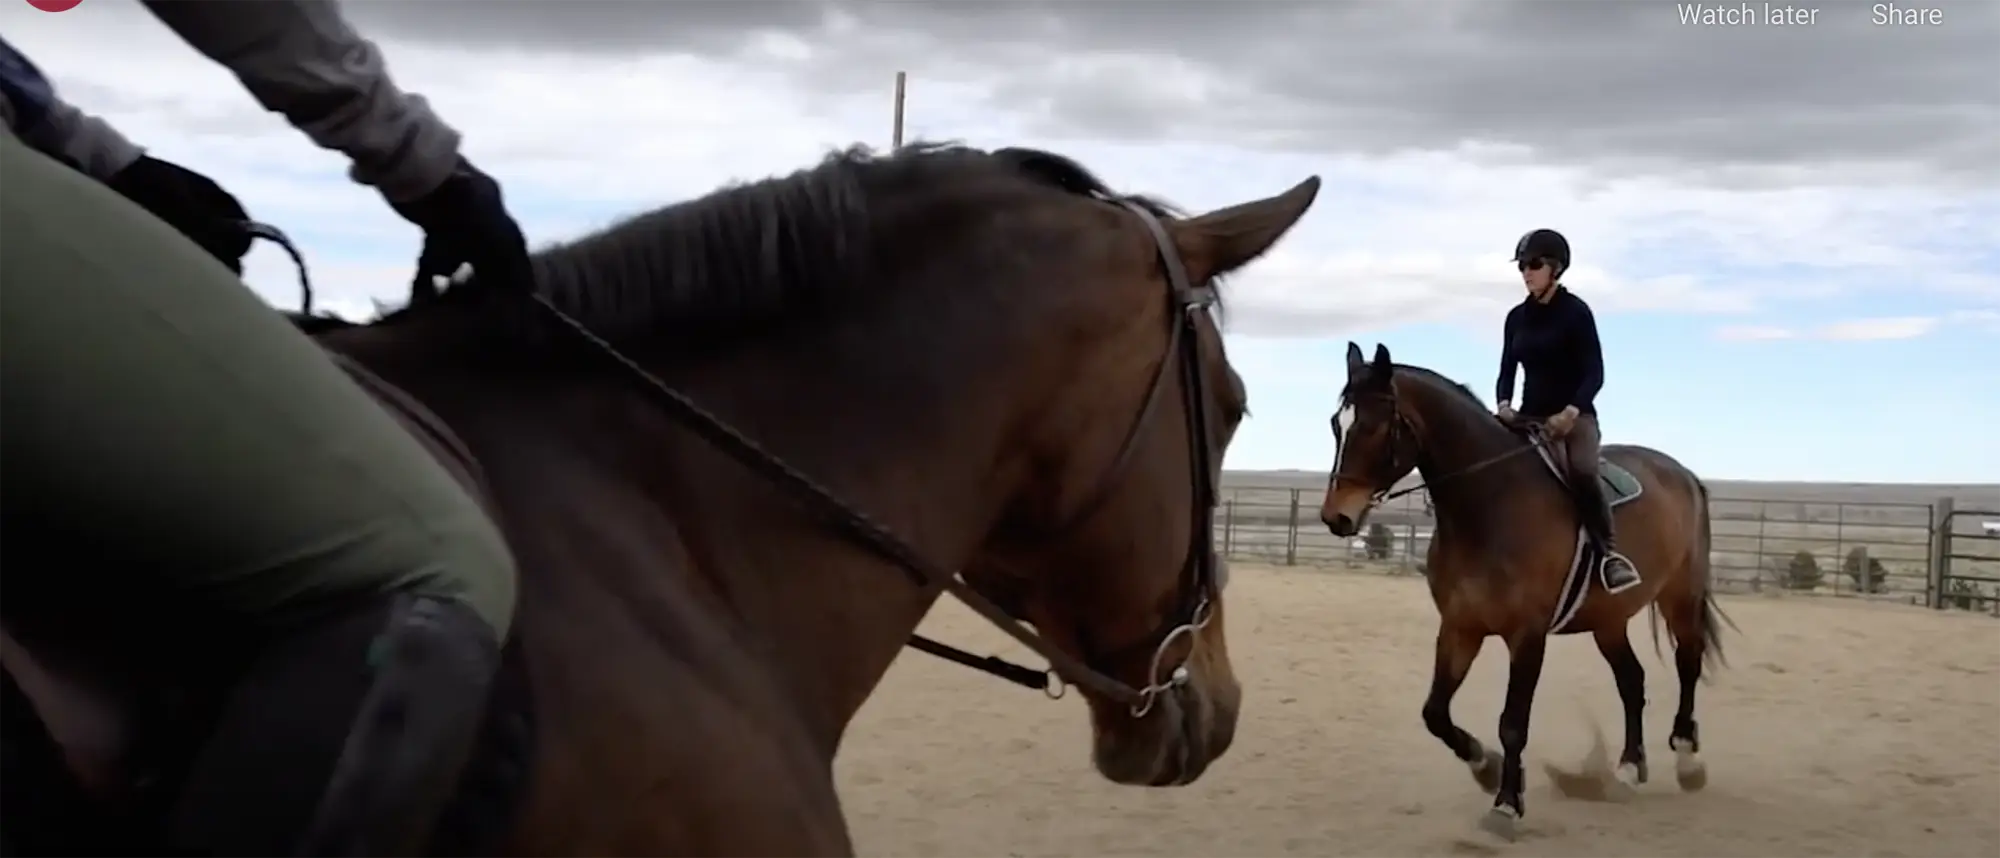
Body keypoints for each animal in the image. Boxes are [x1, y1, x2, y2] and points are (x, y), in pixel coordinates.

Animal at [1318, 342, 1732, 841]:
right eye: (1336, 423)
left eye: (1375, 425)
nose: (1336, 517)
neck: (1489, 505)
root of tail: (1683, 473)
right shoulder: (1460, 627)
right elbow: (1435, 713)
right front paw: (1486, 769)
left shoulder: (1527, 635)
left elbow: (1513, 723)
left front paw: (1506, 806)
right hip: (1608, 620)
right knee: (1632, 682)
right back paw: (1629, 770)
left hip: (1679, 597)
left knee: (1687, 663)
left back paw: (1688, 761)